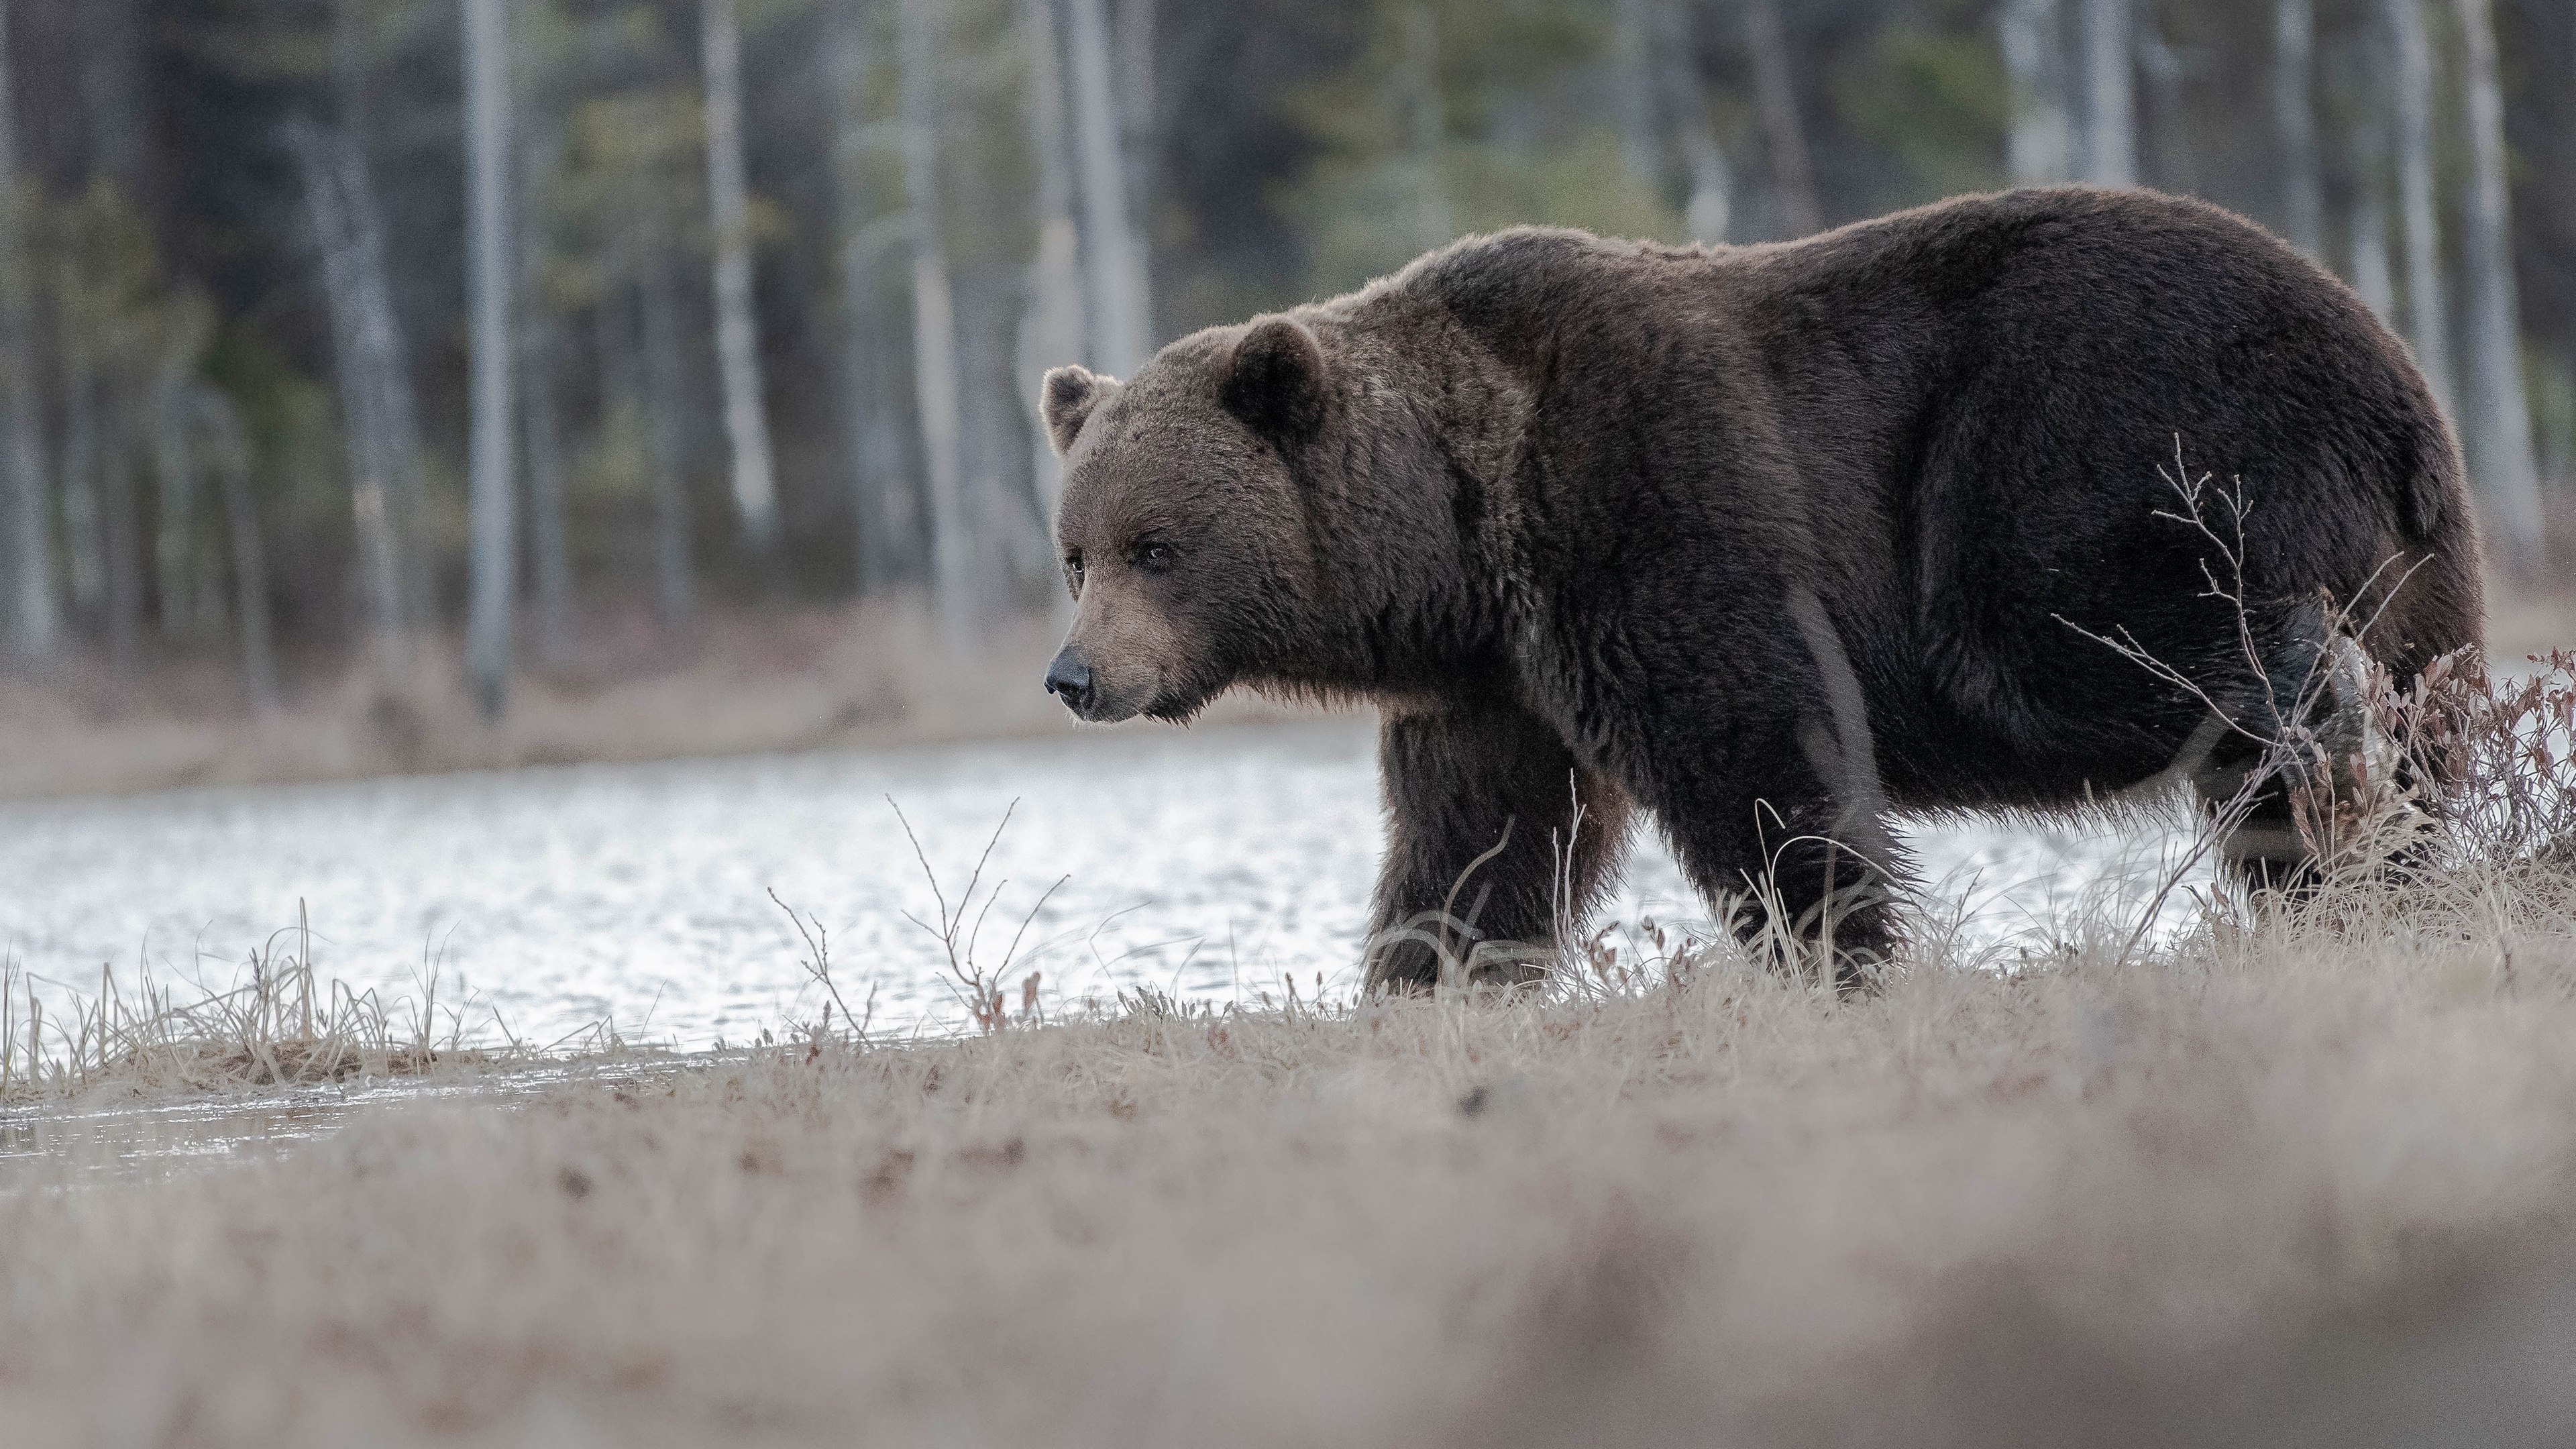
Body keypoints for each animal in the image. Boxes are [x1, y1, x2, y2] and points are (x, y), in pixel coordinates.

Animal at [1035, 185, 2483, 985]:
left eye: (1158, 545)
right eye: (1075, 551)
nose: (1075, 675)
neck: (1463, 527)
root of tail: (2387, 376)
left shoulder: (1648, 510)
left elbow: (1758, 755)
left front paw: (1841, 952)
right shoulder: (1497, 680)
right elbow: (1479, 844)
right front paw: (1421, 981)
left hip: (2090, 446)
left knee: (2101, 650)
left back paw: (2320, 733)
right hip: (2419, 557)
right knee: (2420, 717)